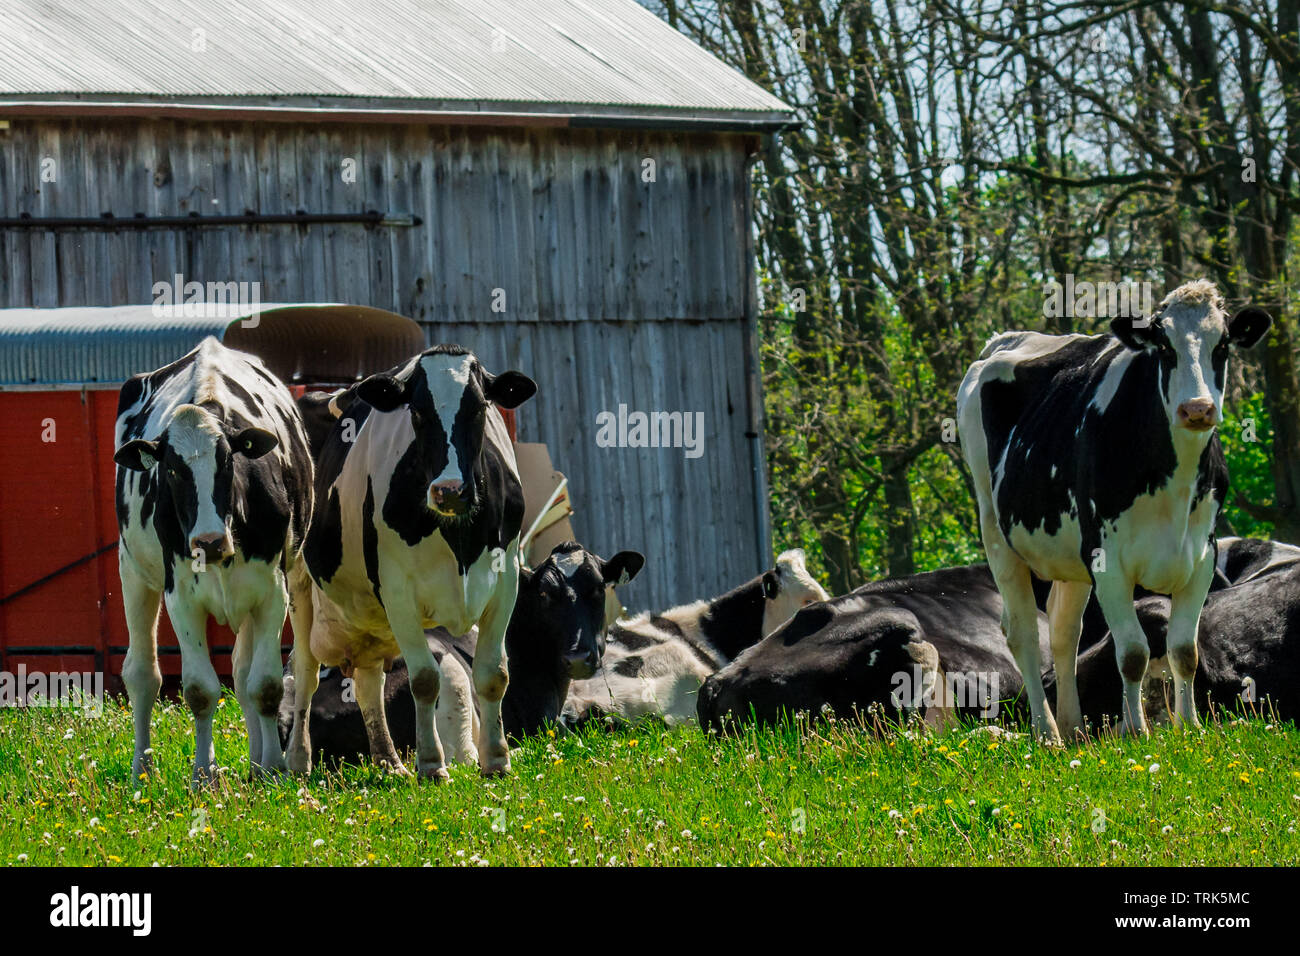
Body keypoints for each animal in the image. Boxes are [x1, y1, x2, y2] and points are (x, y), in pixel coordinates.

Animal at [113, 337, 314, 787]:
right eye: (171, 470)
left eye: (228, 461)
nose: (208, 540)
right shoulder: (180, 596)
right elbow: (200, 690)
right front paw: (203, 775)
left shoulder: (272, 590)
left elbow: (266, 685)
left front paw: (273, 769)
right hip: (132, 572)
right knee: (142, 674)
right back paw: (142, 771)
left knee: (263, 671)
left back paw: (272, 761)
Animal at [284, 345, 537, 781]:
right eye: (417, 413)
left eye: (479, 408)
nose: (449, 490)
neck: (459, 540)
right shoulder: (397, 590)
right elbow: (424, 679)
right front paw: (433, 765)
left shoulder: (506, 583)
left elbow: (494, 674)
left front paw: (497, 761)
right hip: (300, 587)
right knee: (305, 675)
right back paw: (298, 761)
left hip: (370, 620)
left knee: (367, 681)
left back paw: (389, 761)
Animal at [957, 280, 1270, 741]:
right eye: (1164, 346)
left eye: (1224, 345)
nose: (1197, 409)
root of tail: (1005, 341)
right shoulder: (1108, 561)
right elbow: (1134, 653)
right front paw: (1136, 730)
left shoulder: (1202, 557)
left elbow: (1185, 650)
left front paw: (1190, 726)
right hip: (995, 529)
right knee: (1023, 633)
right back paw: (1047, 732)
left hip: (1068, 552)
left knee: (1065, 631)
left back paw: (1073, 729)